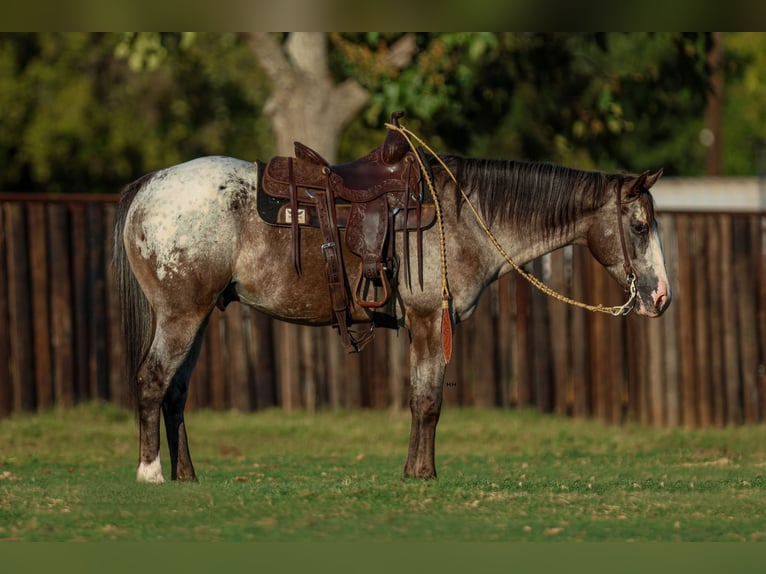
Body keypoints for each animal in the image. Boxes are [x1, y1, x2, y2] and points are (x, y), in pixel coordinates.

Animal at [114, 146, 672, 484]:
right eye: (640, 226)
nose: (662, 297)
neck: (463, 218)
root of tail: (149, 185)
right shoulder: (428, 320)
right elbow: (427, 401)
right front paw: (423, 474)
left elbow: (420, 399)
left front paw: (412, 470)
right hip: (181, 315)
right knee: (151, 381)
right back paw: (150, 473)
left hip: (198, 316)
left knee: (175, 392)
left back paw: (186, 475)